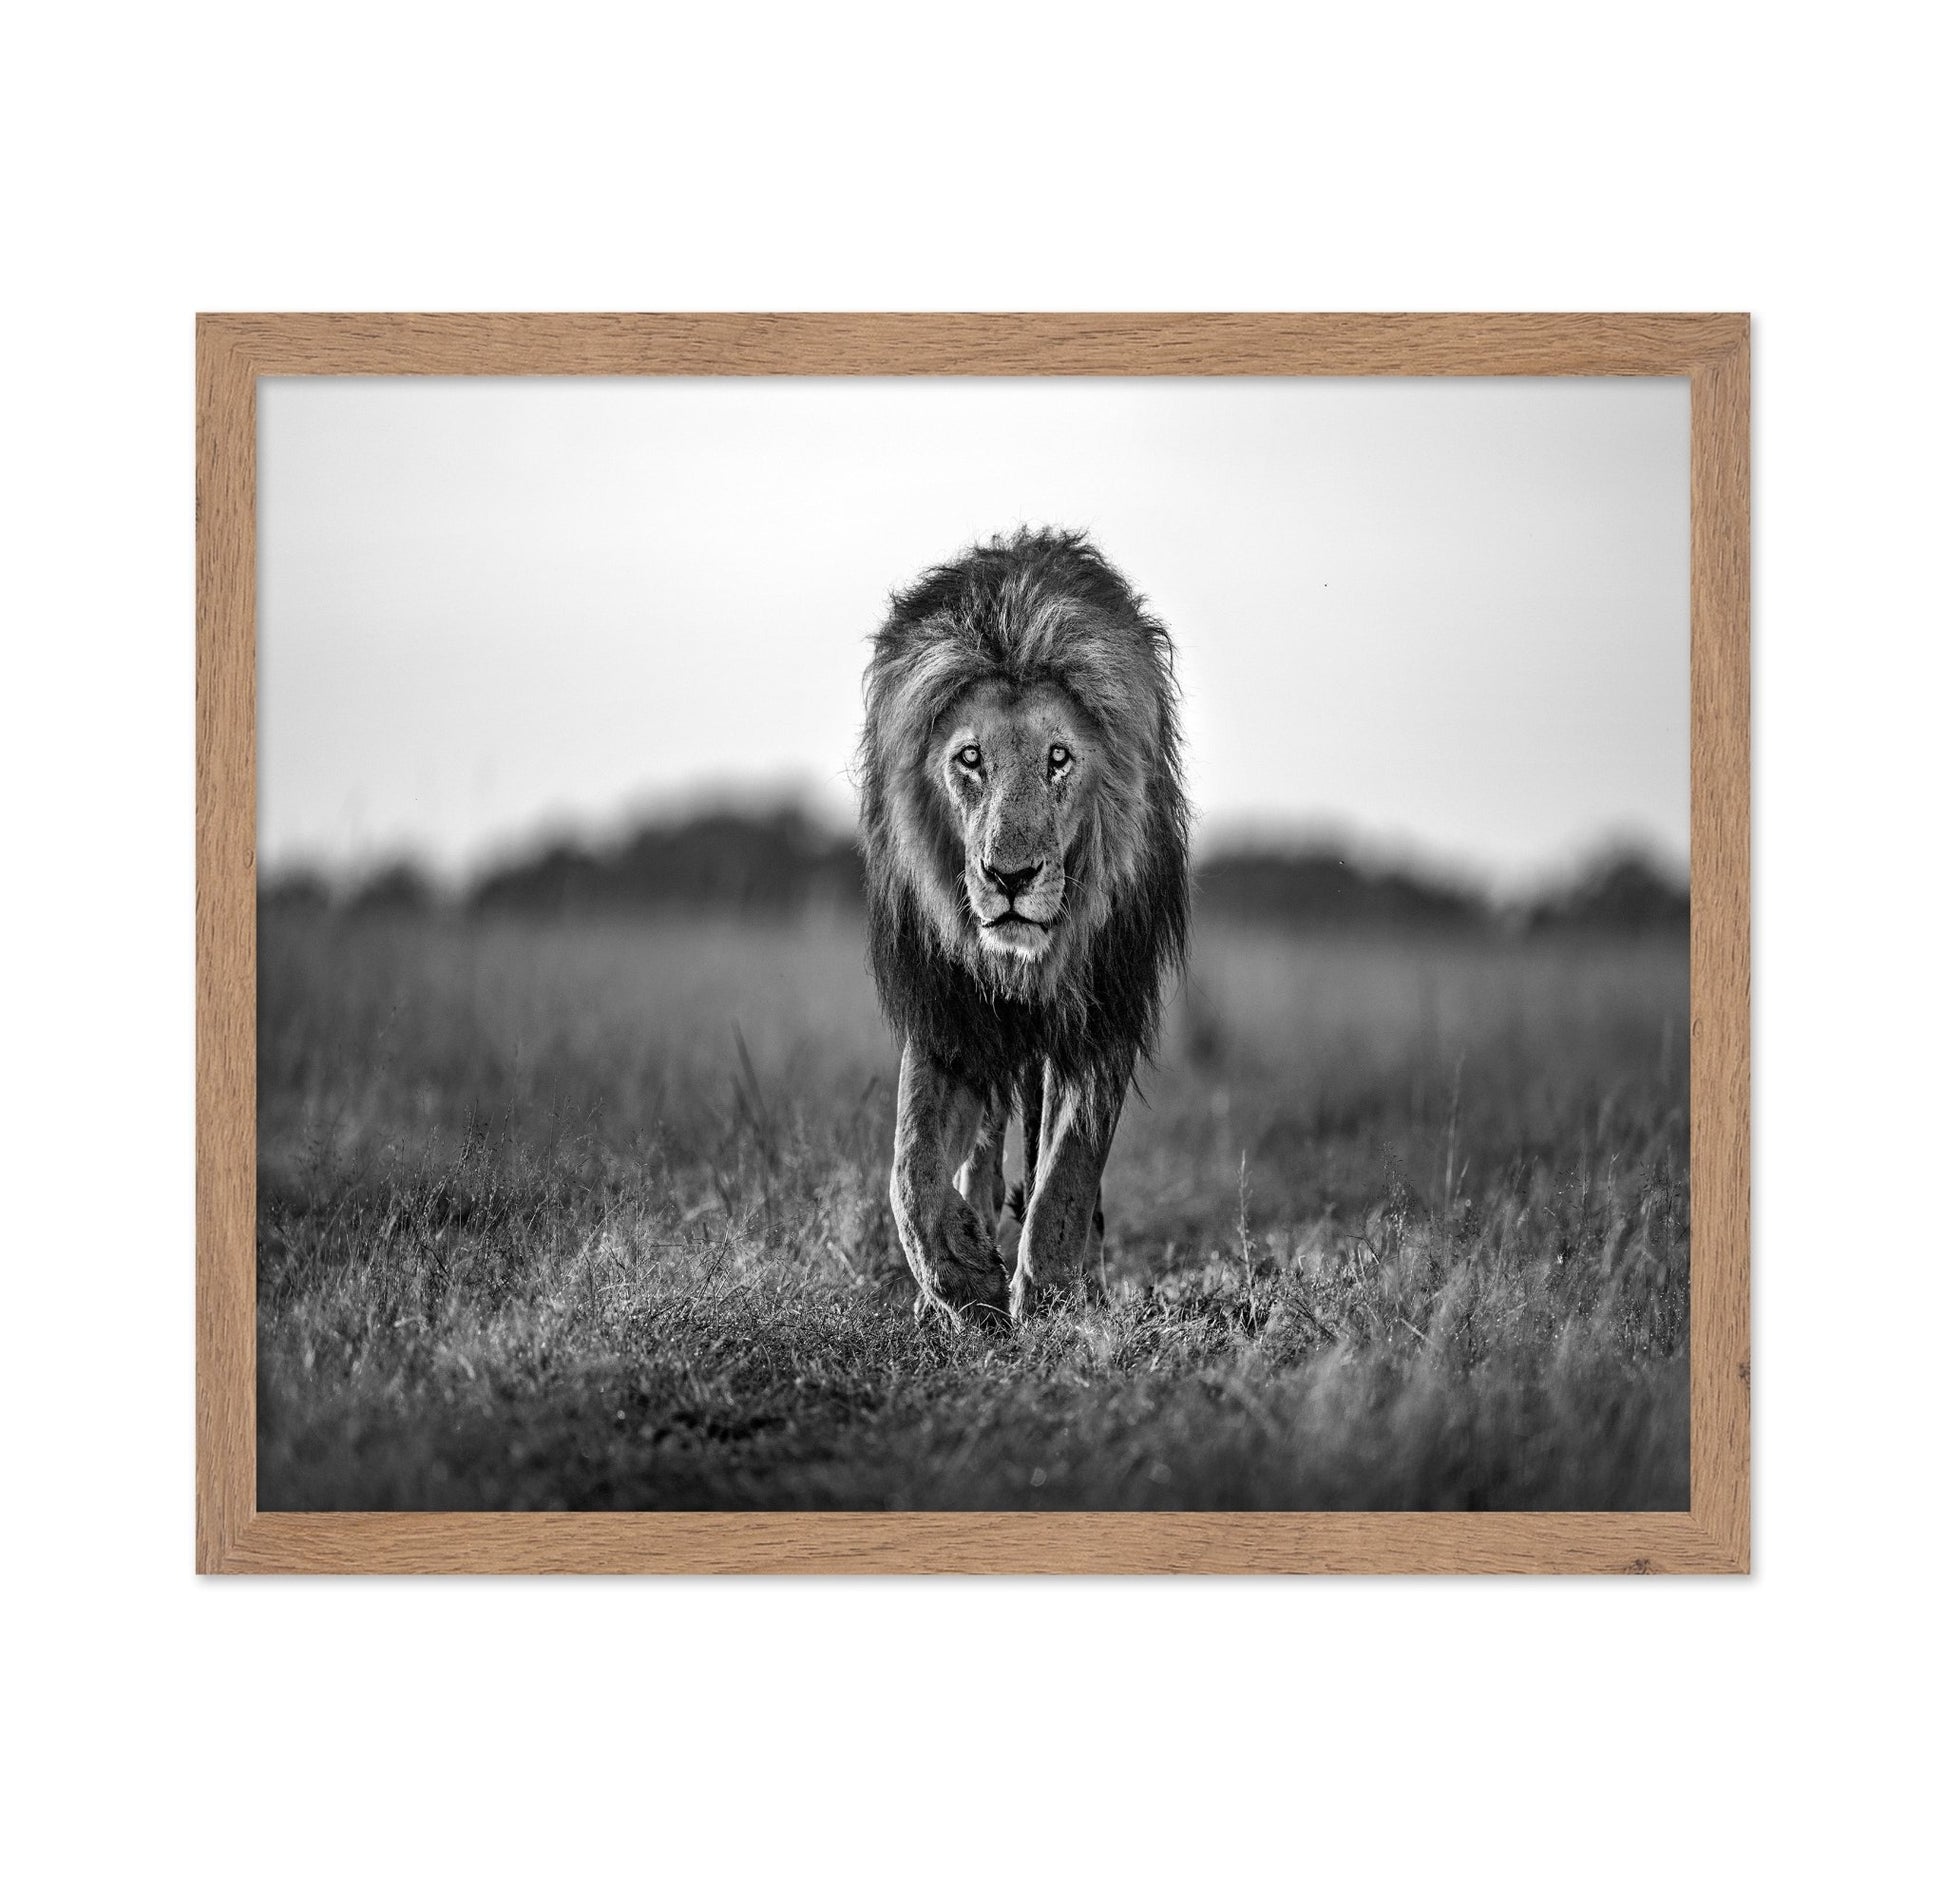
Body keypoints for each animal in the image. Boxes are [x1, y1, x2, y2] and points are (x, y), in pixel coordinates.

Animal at [857, 528, 1191, 1325]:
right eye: (970, 758)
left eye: (1058, 759)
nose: (1010, 878)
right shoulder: (948, 1009)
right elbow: (910, 1167)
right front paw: (958, 1276)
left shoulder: (1103, 1005)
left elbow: (1068, 1167)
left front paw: (1050, 1291)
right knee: (979, 1147)